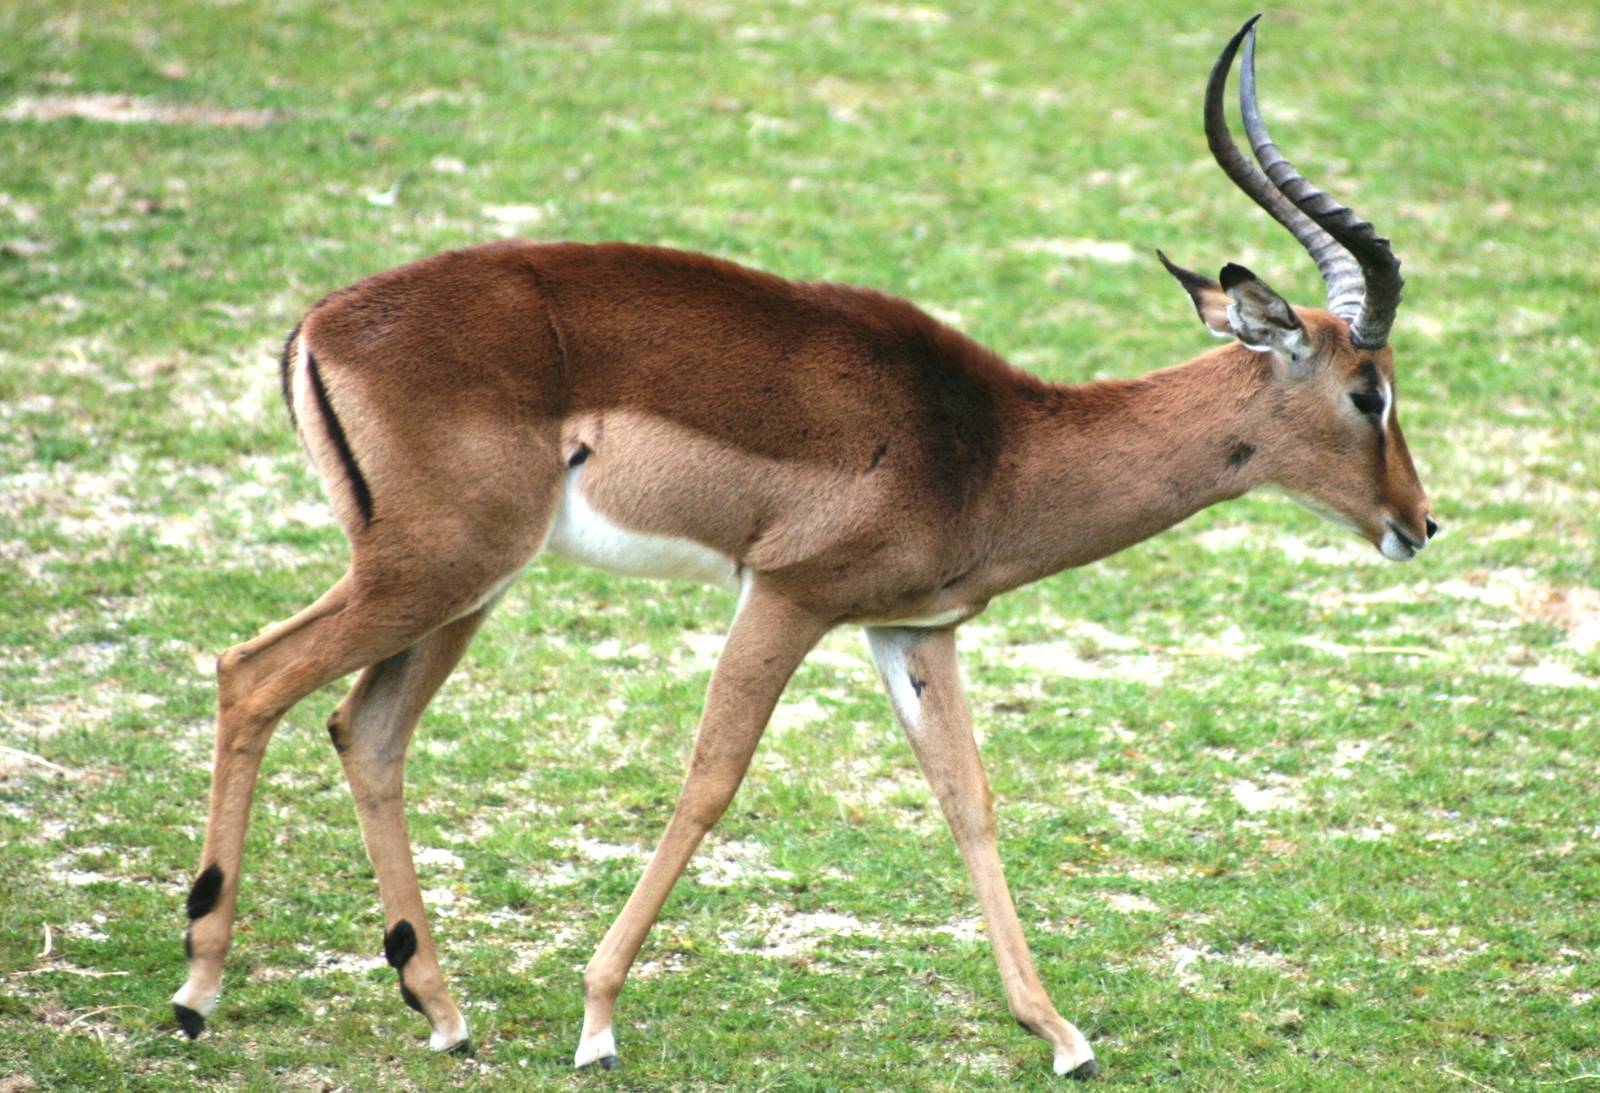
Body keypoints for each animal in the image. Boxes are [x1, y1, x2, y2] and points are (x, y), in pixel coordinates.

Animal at [172, 16, 1434, 1079]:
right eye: (1367, 389)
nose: (1418, 523)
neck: (994, 444)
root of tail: (322, 323)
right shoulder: (786, 596)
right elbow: (710, 780)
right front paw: (598, 1020)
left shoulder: (910, 629)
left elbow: (968, 799)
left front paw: (1063, 1035)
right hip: (435, 569)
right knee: (252, 673)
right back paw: (197, 991)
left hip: (462, 585)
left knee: (365, 726)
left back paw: (438, 1008)